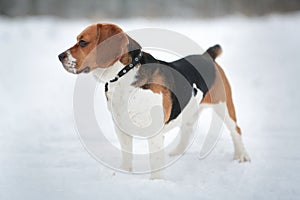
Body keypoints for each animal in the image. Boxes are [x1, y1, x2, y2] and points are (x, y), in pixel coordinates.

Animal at [58, 22, 251, 179]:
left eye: (83, 42)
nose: (60, 56)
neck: (124, 75)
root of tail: (207, 56)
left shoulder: (154, 132)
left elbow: (155, 159)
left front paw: (156, 181)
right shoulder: (121, 127)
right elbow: (126, 153)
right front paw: (124, 174)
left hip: (224, 106)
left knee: (236, 130)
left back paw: (242, 156)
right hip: (190, 110)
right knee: (187, 130)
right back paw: (177, 153)